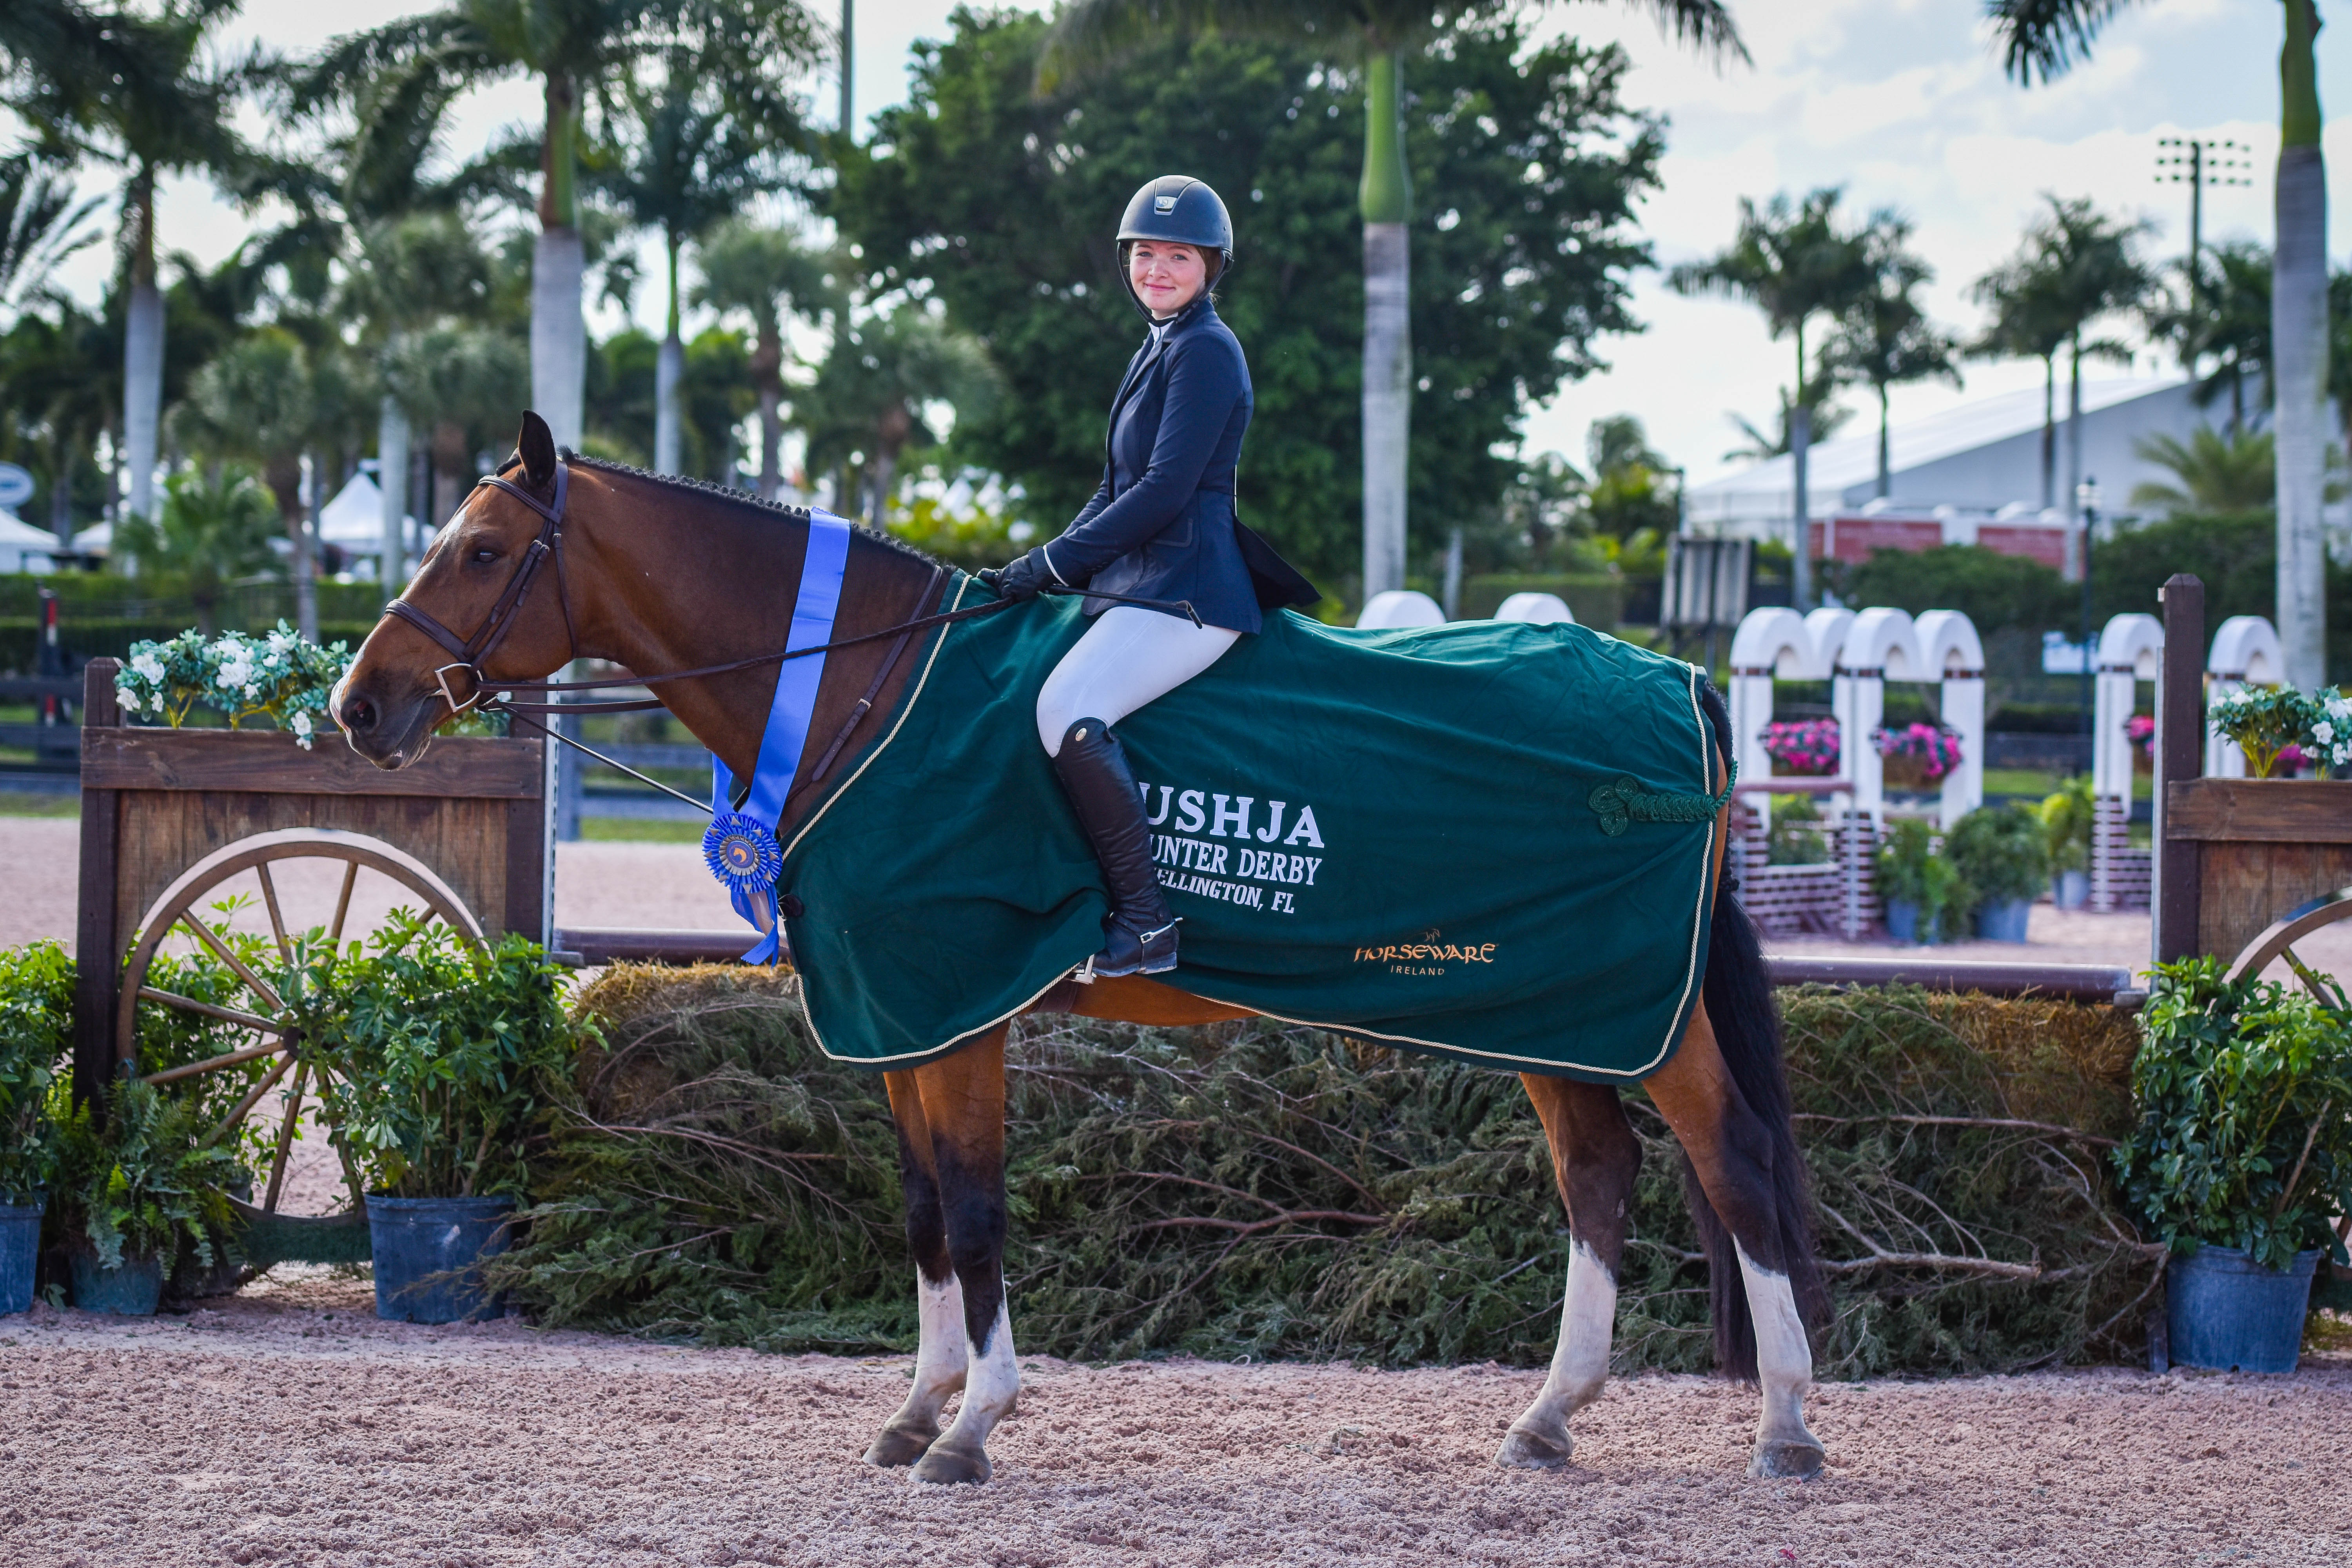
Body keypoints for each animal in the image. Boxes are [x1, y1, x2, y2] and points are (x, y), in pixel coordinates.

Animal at [336, 414, 1835, 1486]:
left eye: (481, 551)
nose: (361, 706)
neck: (866, 684)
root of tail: (1682, 684)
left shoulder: (959, 1011)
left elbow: (978, 1211)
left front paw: (971, 1428)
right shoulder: (908, 1017)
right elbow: (924, 1212)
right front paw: (918, 1407)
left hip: (1634, 1011)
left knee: (1733, 1163)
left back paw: (1786, 1428)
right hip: (1550, 1005)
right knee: (1598, 1174)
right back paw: (1546, 1419)